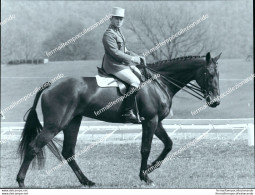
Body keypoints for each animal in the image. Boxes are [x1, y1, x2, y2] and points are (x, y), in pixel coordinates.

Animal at [16, 51, 222, 187]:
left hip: (73, 122)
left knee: (68, 152)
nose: (216, 102)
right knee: (34, 147)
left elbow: (168, 144)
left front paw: (151, 168)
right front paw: (145, 176)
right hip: (55, 125)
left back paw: (87, 181)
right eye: (209, 74)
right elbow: (145, 148)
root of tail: (51, 85)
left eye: (218, 74)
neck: (158, 82)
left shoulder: (156, 122)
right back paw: (21, 182)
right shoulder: (150, 121)